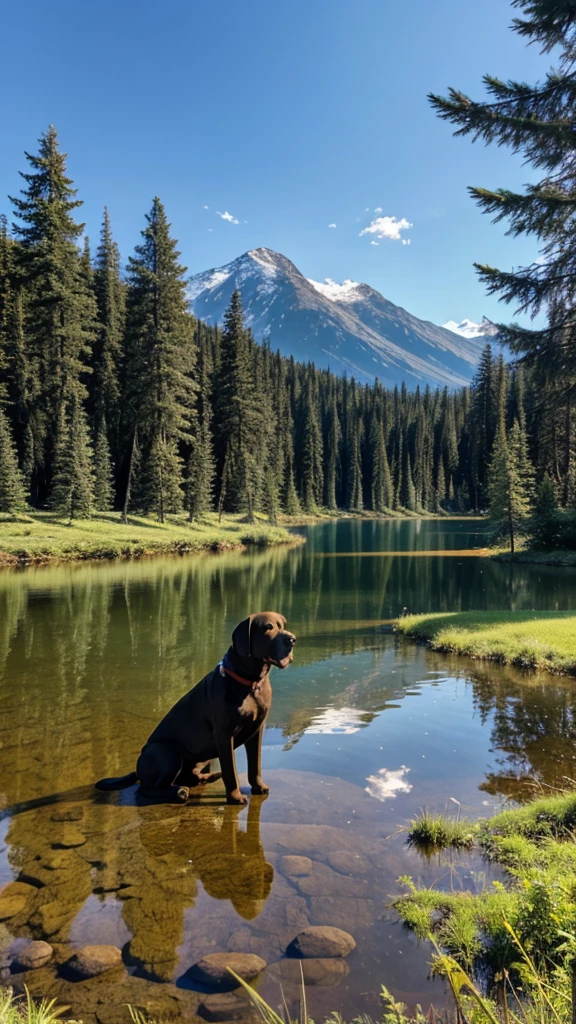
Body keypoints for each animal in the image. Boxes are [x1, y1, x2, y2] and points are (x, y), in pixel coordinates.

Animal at [94, 610, 295, 802]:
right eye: (268, 627)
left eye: (283, 625)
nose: (292, 639)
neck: (251, 683)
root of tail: (138, 768)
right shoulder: (224, 734)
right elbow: (231, 771)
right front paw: (235, 797)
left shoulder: (256, 730)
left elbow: (255, 766)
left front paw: (259, 787)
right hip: (167, 752)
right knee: (147, 790)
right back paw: (179, 792)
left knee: (192, 778)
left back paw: (209, 777)